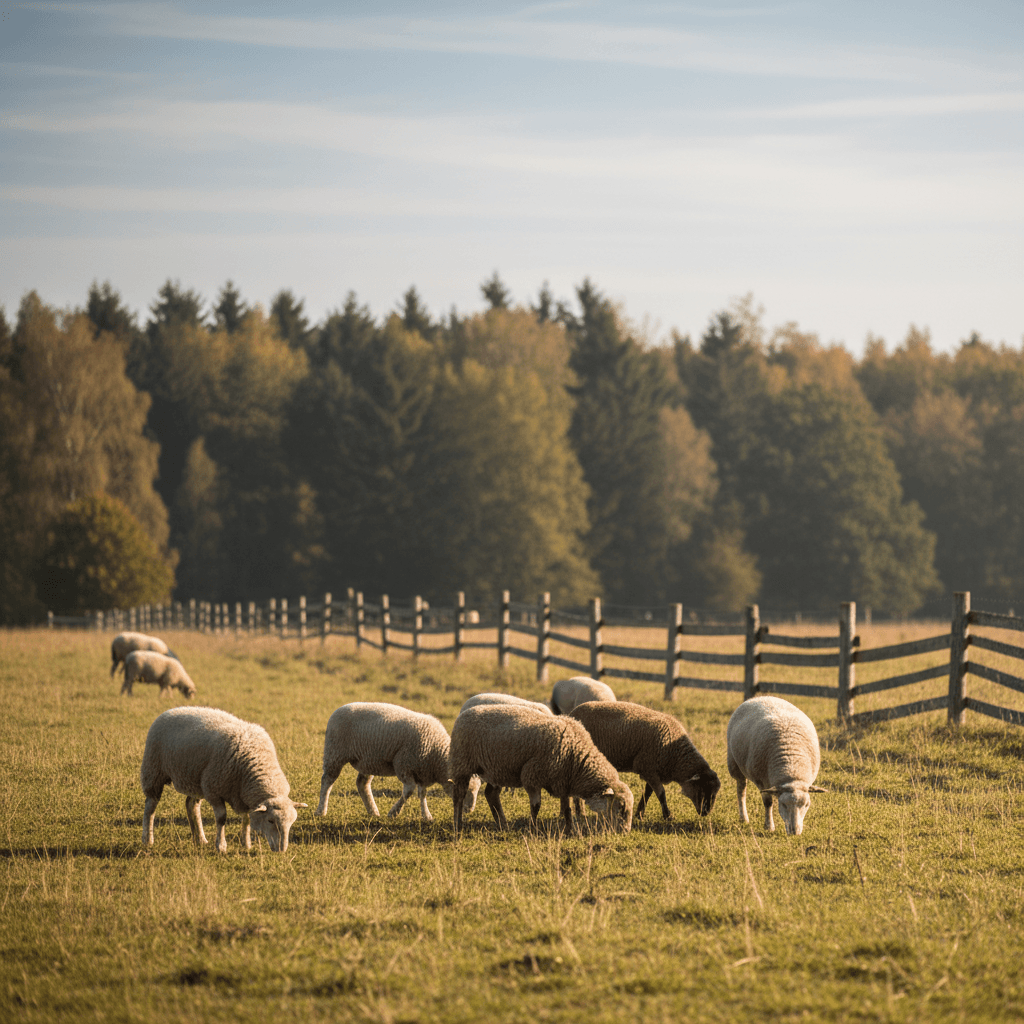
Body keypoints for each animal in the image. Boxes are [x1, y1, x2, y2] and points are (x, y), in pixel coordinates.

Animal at [141, 706, 307, 852]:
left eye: (292, 823)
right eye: (270, 820)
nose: (281, 850)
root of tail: (172, 709)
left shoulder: (241, 795)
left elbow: (246, 818)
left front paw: (246, 844)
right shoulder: (214, 791)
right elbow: (221, 819)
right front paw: (221, 846)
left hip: (196, 780)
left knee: (191, 805)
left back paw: (200, 839)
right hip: (153, 771)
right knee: (150, 807)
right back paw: (147, 839)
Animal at [317, 702, 480, 822]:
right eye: (465, 791)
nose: (469, 811)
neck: (437, 753)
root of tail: (338, 709)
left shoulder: (422, 770)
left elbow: (422, 794)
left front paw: (426, 815)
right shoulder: (403, 765)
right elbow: (409, 791)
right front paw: (394, 812)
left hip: (368, 761)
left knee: (362, 784)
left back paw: (373, 811)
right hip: (335, 754)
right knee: (327, 781)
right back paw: (321, 810)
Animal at [448, 704, 633, 838]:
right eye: (620, 807)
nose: (625, 832)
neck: (576, 757)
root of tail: (463, 714)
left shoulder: (562, 781)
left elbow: (567, 809)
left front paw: (570, 829)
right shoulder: (532, 776)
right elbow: (536, 806)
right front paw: (533, 829)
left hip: (497, 769)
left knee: (491, 794)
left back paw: (503, 825)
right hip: (462, 764)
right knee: (459, 795)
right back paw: (458, 825)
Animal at [569, 701, 720, 820]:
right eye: (702, 789)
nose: (706, 813)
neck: (675, 756)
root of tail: (572, 713)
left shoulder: (652, 771)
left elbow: (648, 793)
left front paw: (639, 814)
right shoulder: (648, 768)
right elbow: (661, 794)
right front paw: (668, 816)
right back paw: (580, 813)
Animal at [726, 695, 827, 836]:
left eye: (806, 805)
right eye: (783, 804)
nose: (795, 832)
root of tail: (762, 696)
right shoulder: (761, 781)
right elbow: (768, 803)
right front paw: (769, 826)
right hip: (734, 764)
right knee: (741, 790)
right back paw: (743, 818)